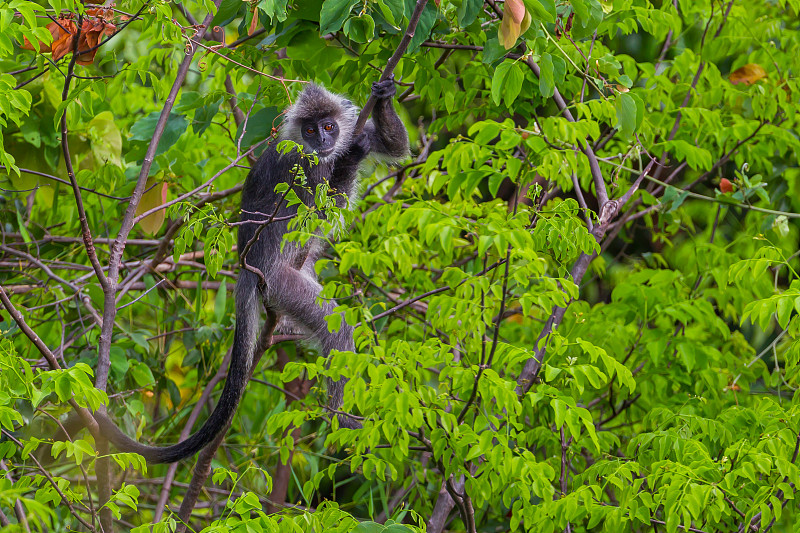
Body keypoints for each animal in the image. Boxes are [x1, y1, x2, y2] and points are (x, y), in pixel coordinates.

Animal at [97, 79, 410, 462]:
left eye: (329, 126)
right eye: (309, 130)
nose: (322, 140)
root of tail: (249, 268)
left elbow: (397, 147)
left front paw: (384, 95)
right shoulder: (302, 166)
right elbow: (321, 207)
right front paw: (351, 158)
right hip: (280, 284)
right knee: (336, 328)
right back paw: (343, 420)